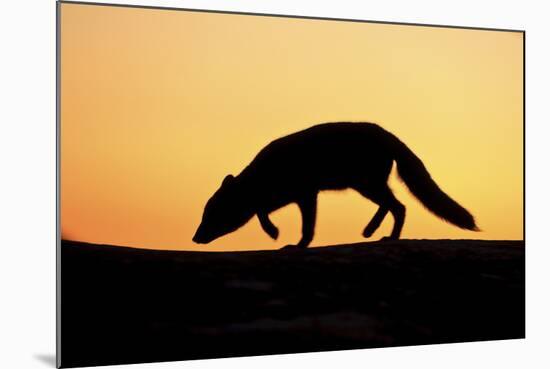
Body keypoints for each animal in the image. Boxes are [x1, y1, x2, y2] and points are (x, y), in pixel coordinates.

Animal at [193, 122, 478, 249]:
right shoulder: (288, 197)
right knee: (393, 205)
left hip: (367, 185)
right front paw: (275, 232)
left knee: (399, 207)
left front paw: (289, 241)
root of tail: (389, 134)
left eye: (211, 214)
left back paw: (388, 237)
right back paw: (370, 231)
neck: (262, 175)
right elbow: (261, 210)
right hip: (366, 186)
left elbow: (306, 226)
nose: (195, 237)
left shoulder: (306, 195)